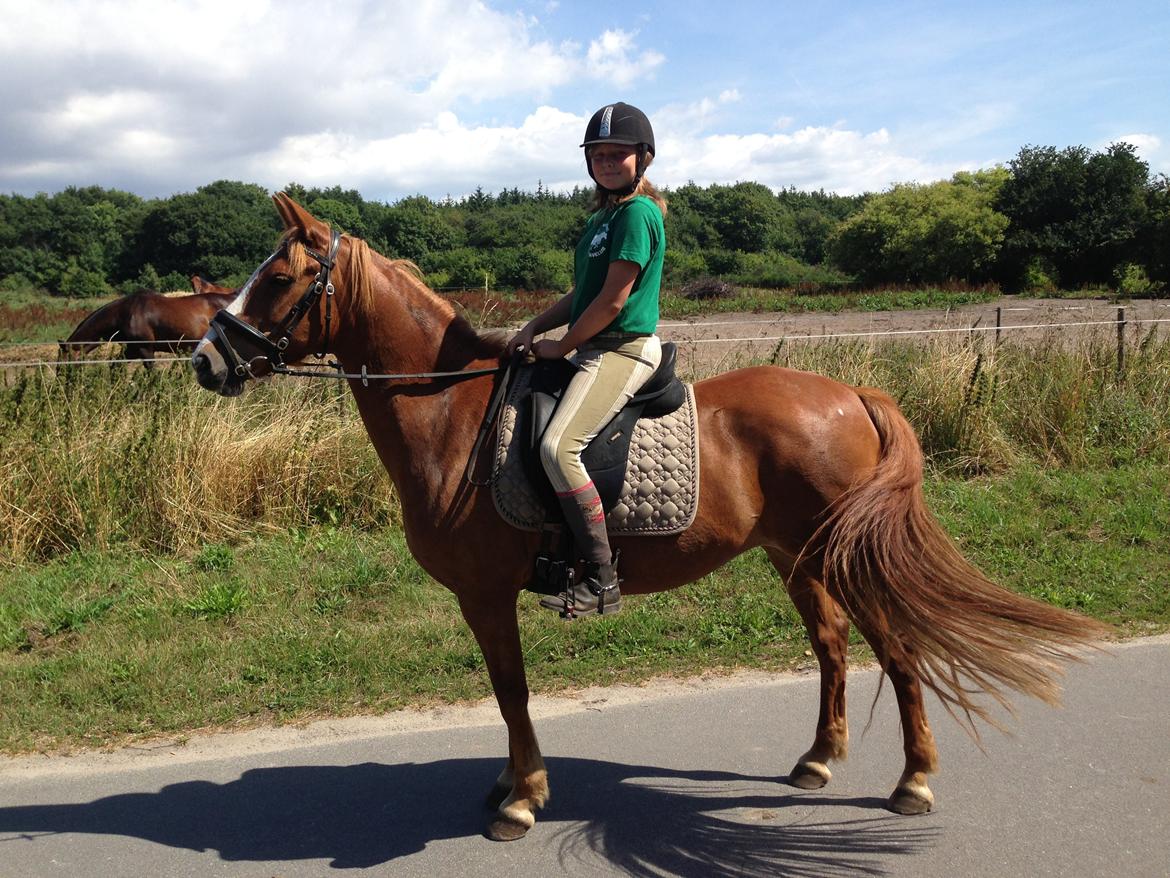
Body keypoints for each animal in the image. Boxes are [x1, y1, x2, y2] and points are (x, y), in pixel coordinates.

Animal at [191, 194, 1110, 842]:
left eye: (279, 278)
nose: (205, 361)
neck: (453, 415)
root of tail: (851, 393)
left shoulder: (486, 595)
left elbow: (511, 690)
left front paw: (522, 797)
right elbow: (505, 692)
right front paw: (511, 783)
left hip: (837, 555)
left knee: (897, 646)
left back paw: (913, 781)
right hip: (795, 554)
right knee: (833, 644)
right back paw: (818, 761)